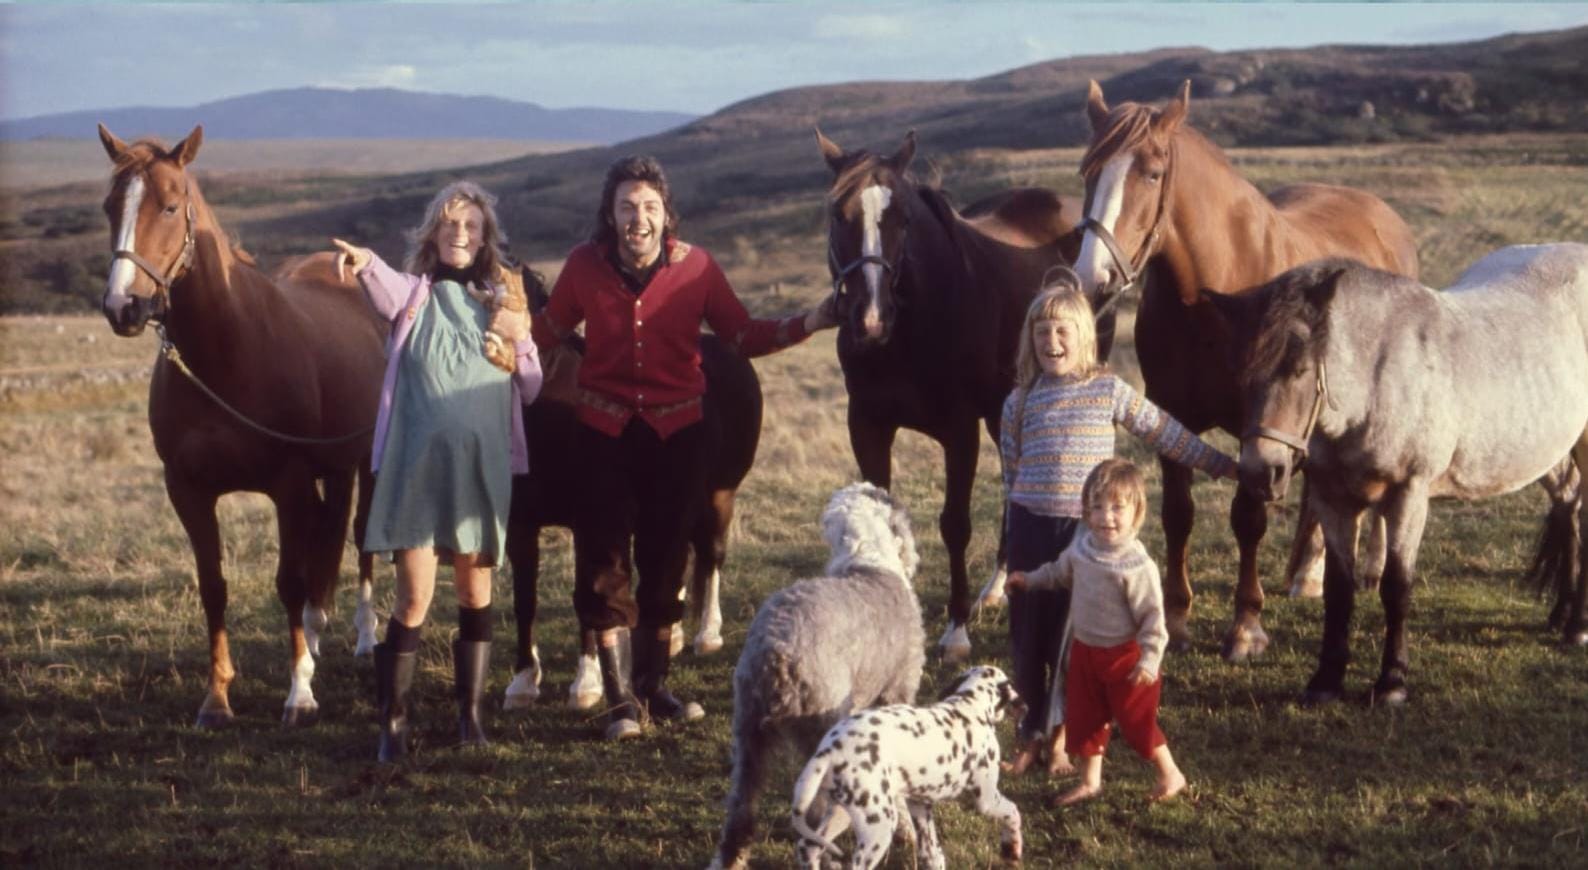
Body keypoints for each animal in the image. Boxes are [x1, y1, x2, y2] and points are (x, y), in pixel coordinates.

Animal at [97, 124, 387, 726]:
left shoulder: (288, 485)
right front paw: (217, 696)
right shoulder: (188, 490)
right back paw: (316, 634)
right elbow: (214, 587)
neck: (226, 351)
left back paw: (364, 636)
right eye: (110, 206)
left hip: (366, 461)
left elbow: (289, 581)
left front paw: (299, 693)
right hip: (334, 468)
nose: (123, 306)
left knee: (360, 537)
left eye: (170, 204)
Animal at [790, 665, 1026, 869]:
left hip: (842, 814)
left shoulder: (920, 805)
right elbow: (1013, 812)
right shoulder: (987, 799)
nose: (1024, 708)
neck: (969, 706)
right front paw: (1011, 848)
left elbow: (932, 854)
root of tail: (827, 752)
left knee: (808, 847)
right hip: (879, 827)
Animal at [817, 129, 1115, 660]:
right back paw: (997, 587)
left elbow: (955, 524)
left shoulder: (959, 431)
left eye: (903, 219)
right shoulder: (867, 424)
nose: (871, 319)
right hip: (1004, 412)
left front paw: (956, 630)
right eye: (838, 214)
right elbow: (879, 512)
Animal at [1070, 80, 1421, 661]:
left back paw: (1367, 565)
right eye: (1089, 173)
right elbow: (1179, 515)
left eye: (1152, 172)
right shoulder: (1172, 415)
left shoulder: (1258, 426)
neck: (1213, 296)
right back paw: (1308, 572)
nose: (1092, 278)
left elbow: (1248, 517)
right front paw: (1179, 618)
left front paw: (1245, 627)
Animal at [1213, 245, 1588, 703]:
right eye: (1241, 377)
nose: (1261, 472)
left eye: (1300, 370)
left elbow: (1396, 586)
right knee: (1568, 504)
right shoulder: (1334, 500)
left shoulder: (1408, 495)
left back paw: (1578, 625)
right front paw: (1326, 680)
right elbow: (1339, 590)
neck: (1377, 380)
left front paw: (1391, 681)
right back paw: (1563, 616)